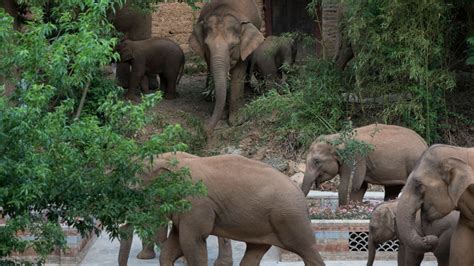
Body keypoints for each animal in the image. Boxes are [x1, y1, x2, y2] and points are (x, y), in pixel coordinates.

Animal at [118, 152, 326, 266]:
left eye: (135, 193)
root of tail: (301, 193)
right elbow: (172, 248)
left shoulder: (197, 206)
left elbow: (192, 243)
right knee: (253, 252)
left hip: (290, 218)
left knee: (308, 250)